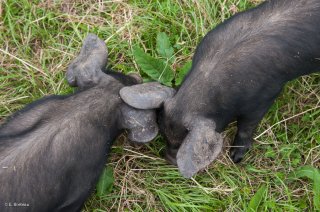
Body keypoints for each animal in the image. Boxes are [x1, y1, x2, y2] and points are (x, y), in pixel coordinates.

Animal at [120, 0, 320, 178]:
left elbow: (247, 126)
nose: (169, 160)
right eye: (163, 134)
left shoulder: (265, 96)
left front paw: (235, 158)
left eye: (181, 142)